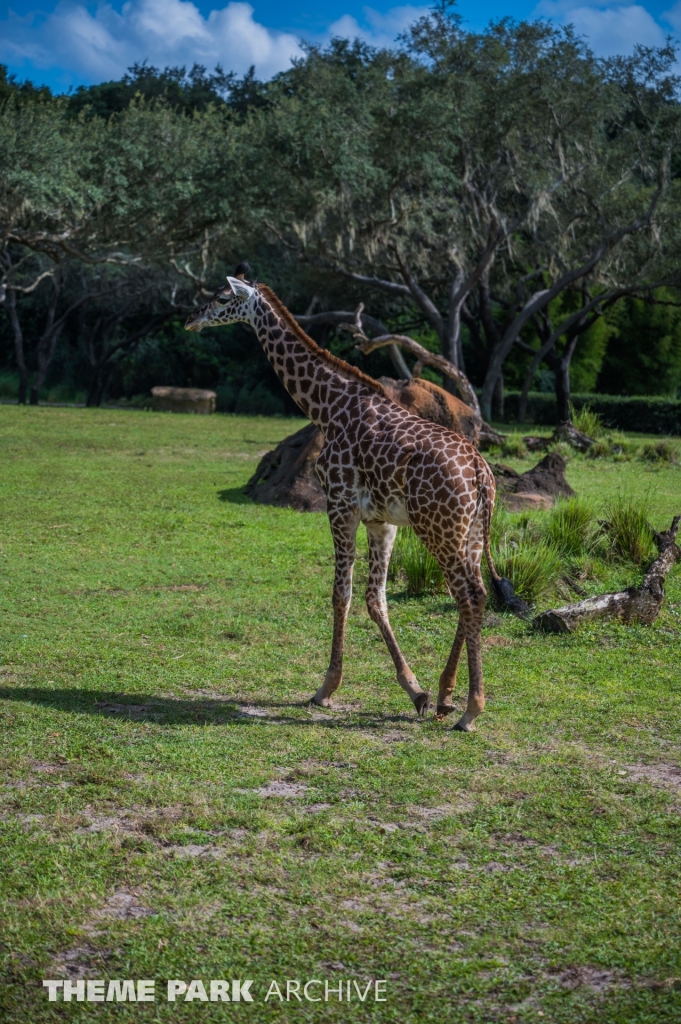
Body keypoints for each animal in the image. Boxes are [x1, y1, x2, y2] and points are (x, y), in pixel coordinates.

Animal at [186, 264, 520, 729]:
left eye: (220, 298)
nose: (190, 319)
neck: (327, 407)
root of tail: (481, 472)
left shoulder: (339, 505)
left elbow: (340, 594)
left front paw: (325, 689)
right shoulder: (382, 521)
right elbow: (375, 598)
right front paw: (416, 691)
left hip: (439, 529)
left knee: (468, 596)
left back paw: (471, 709)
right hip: (469, 531)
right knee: (478, 595)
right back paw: (446, 695)